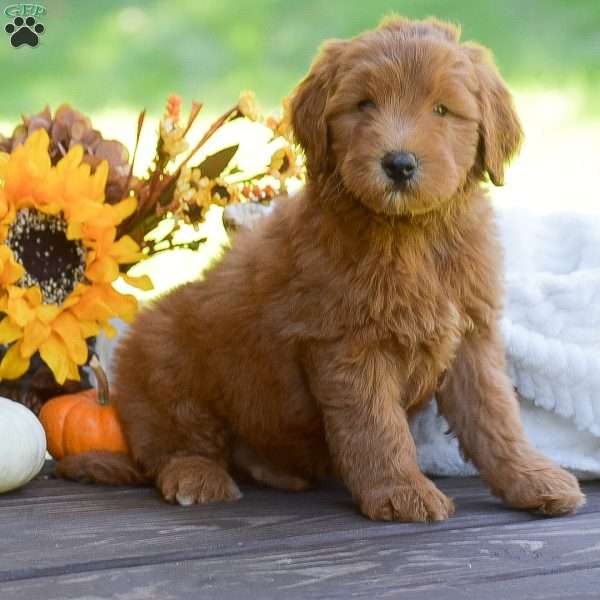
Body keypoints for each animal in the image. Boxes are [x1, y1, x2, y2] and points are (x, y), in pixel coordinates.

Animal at [57, 16, 584, 524]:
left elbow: (496, 417)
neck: (410, 235)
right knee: (170, 443)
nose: (399, 164)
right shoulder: (347, 344)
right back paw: (195, 475)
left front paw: (531, 479)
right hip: (167, 354)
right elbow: (378, 426)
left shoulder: (472, 336)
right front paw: (401, 492)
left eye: (441, 110)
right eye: (364, 104)